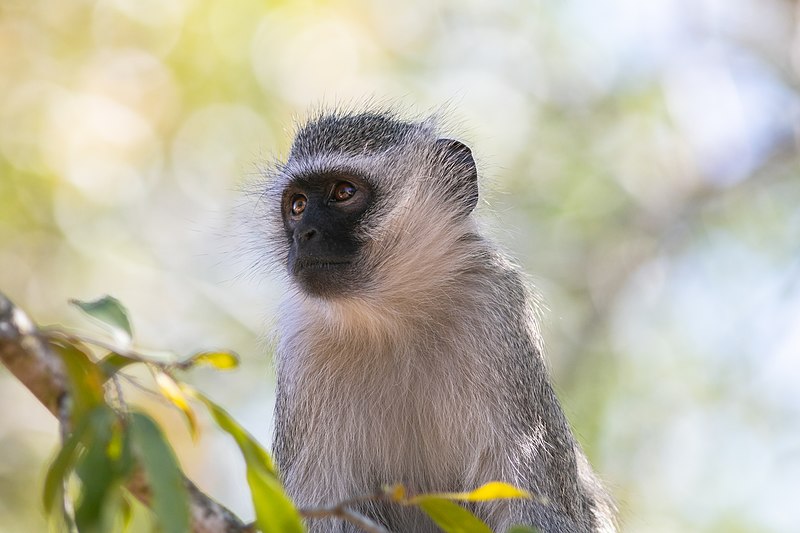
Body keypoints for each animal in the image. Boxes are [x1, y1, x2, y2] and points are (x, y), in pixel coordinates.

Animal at [266, 110, 616, 528]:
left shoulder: (495, 305)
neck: (393, 316)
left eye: (344, 192)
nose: (304, 234)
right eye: (297, 205)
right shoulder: (303, 351)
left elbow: (535, 502)